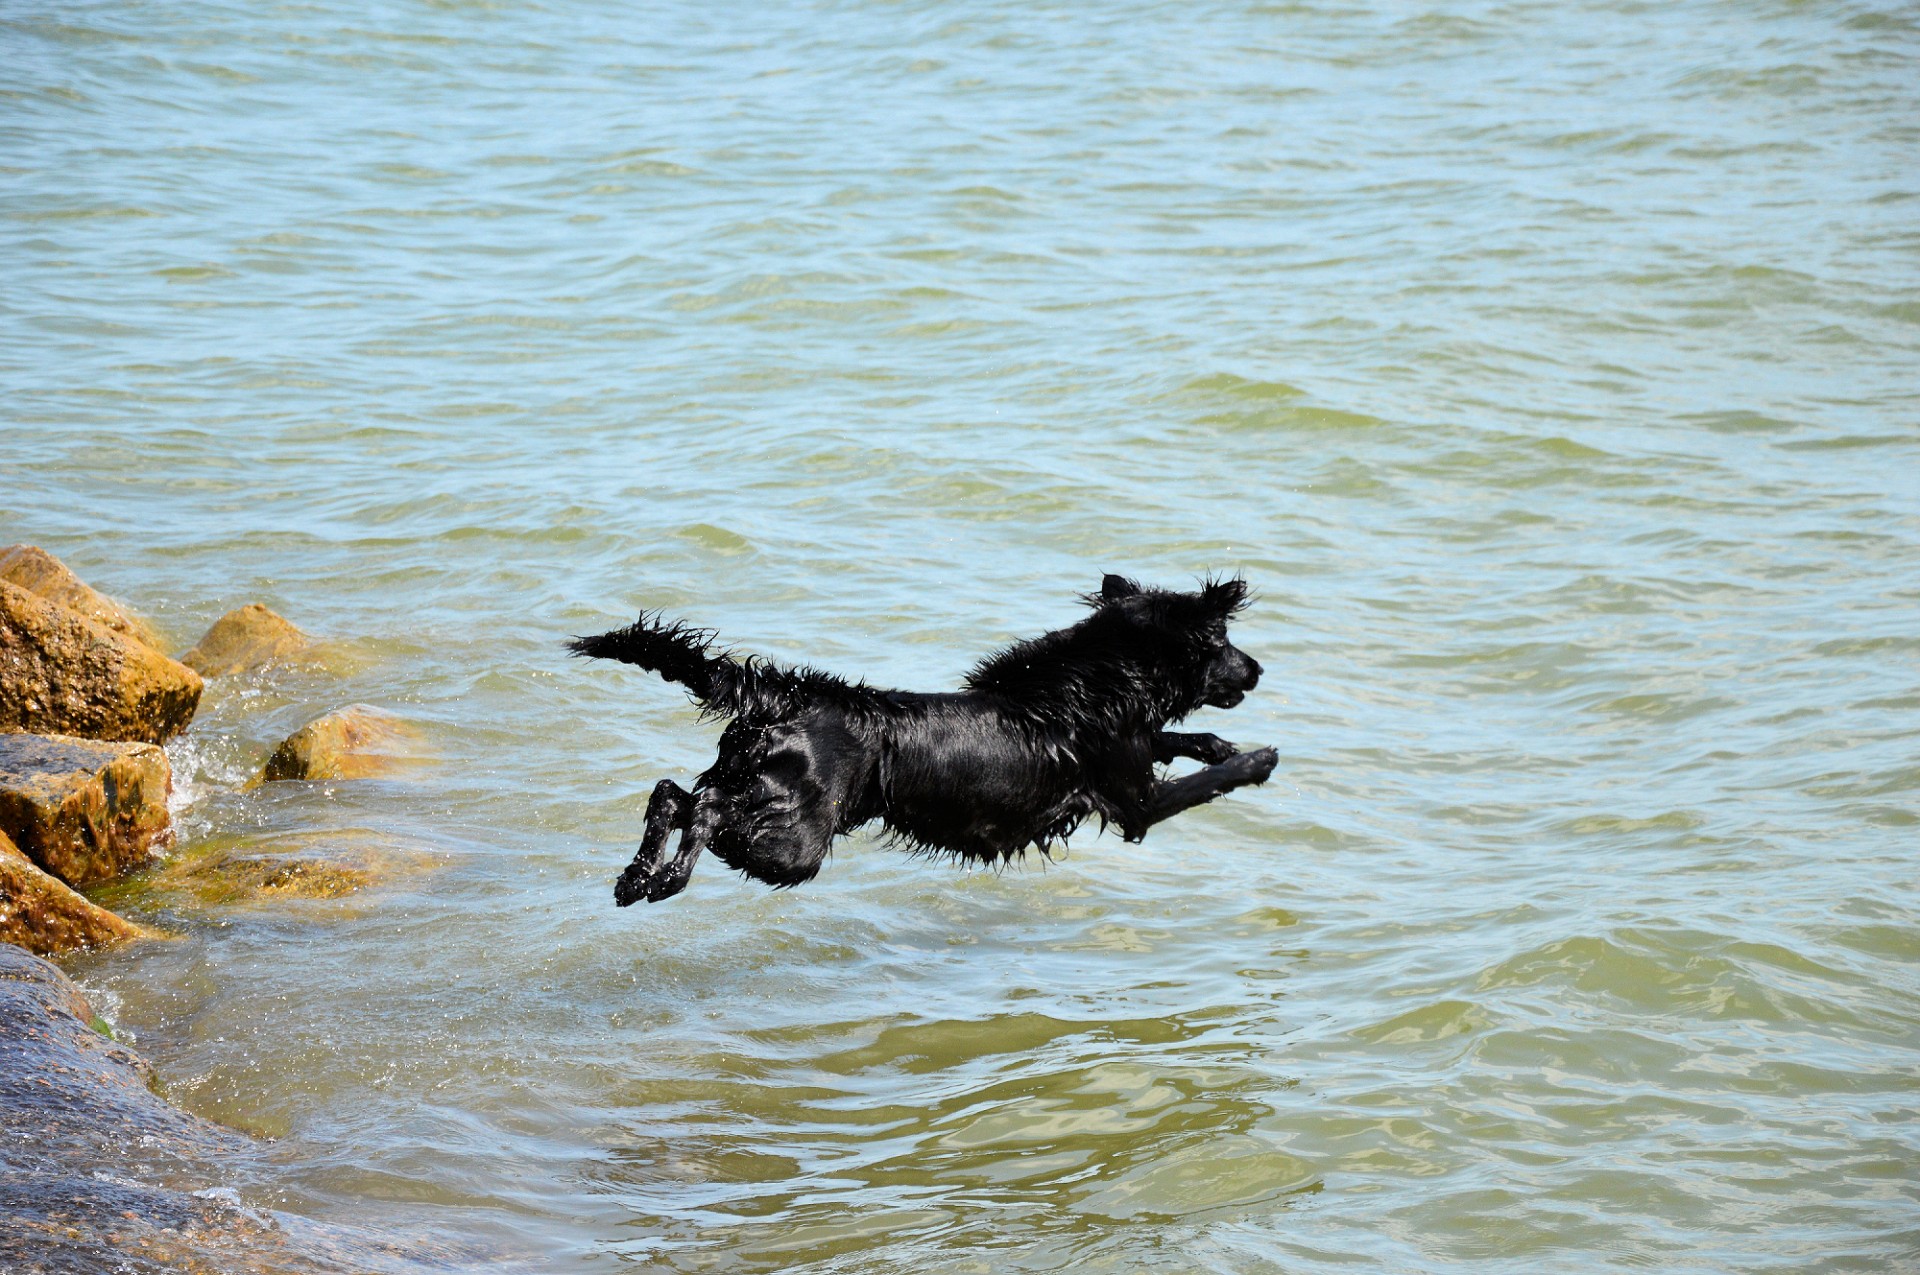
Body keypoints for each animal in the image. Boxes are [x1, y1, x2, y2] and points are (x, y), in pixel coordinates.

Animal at [564, 572, 1274, 902]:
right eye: (1222, 641)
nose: (1258, 670)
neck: (1097, 677)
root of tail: (787, 693)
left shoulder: (1131, 749)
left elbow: (1171, 740)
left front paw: (1217, 743)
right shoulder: (1133, 805)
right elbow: (1196, 781)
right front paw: (1259, 759)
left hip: (751, 782)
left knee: (671, 792)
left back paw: (635, 877)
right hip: (793, 845)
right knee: (703, 807)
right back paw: (663, 879)